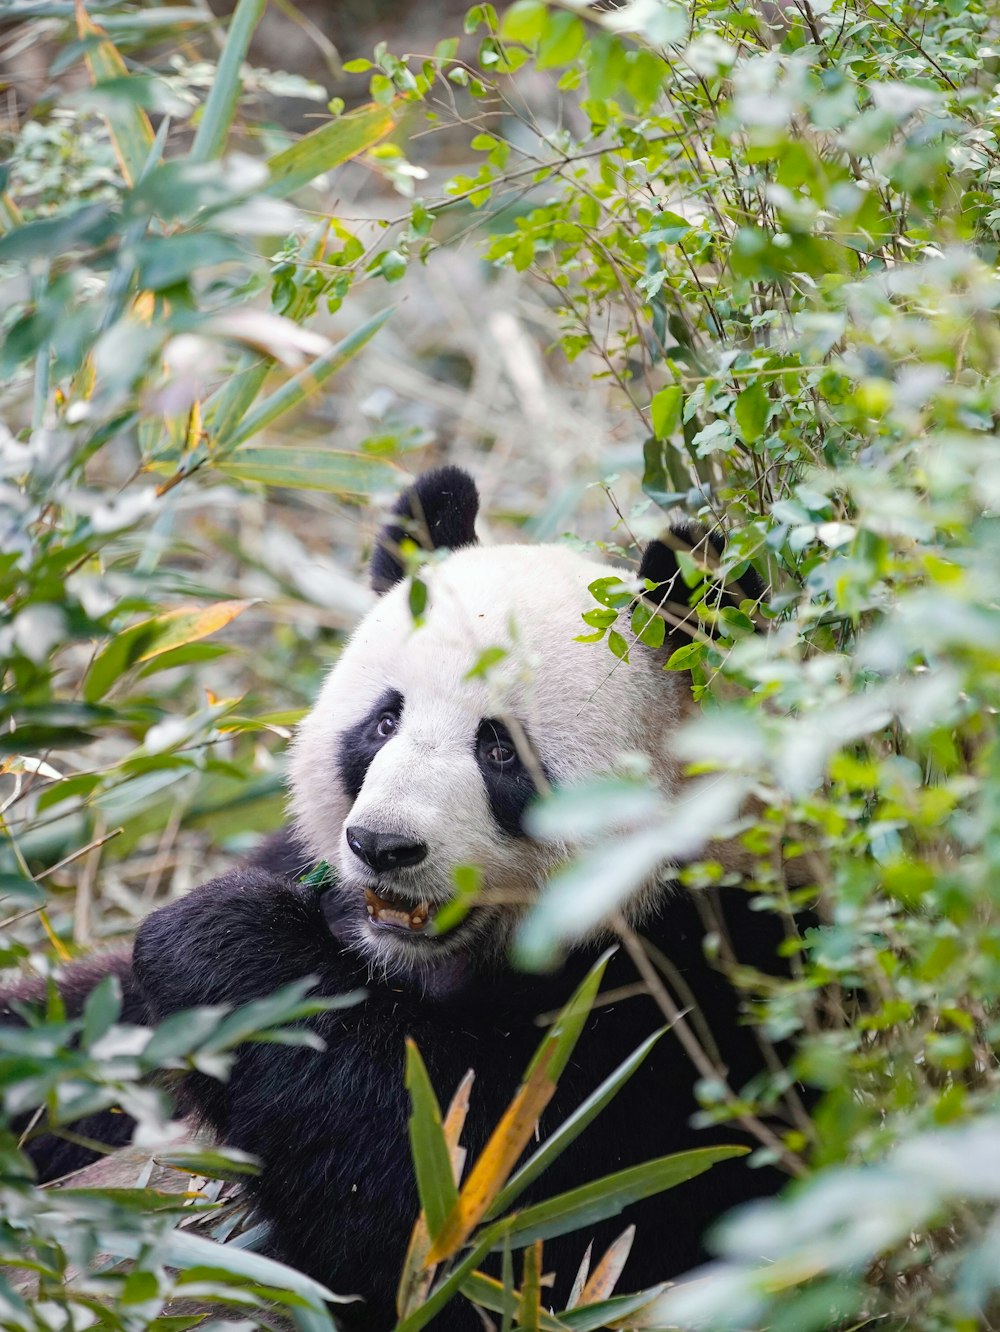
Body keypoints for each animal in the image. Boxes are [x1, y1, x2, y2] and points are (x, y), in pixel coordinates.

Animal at [5, 468, 788, 1332]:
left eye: (501, 750)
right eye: (383, 722)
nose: (382, 845)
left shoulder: (692, 1003)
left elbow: (487, 1218)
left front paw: (216, 942)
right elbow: (85, 1026)